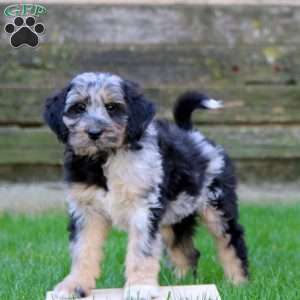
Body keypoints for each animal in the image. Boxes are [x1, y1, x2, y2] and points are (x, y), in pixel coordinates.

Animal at [43, 72, 247, 300]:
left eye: (112, 107)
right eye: (78, 108)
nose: (94, 133)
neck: (106, 158)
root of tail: (193, 134)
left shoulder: (144, 209)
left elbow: (141, 250)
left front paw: (140, 287)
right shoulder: (86, 211)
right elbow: (83, 250)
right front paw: (73, 286)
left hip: (216, 203)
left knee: (232, 240)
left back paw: (238, 283)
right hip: (175, 215)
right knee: (186, 249)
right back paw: (182, 283)